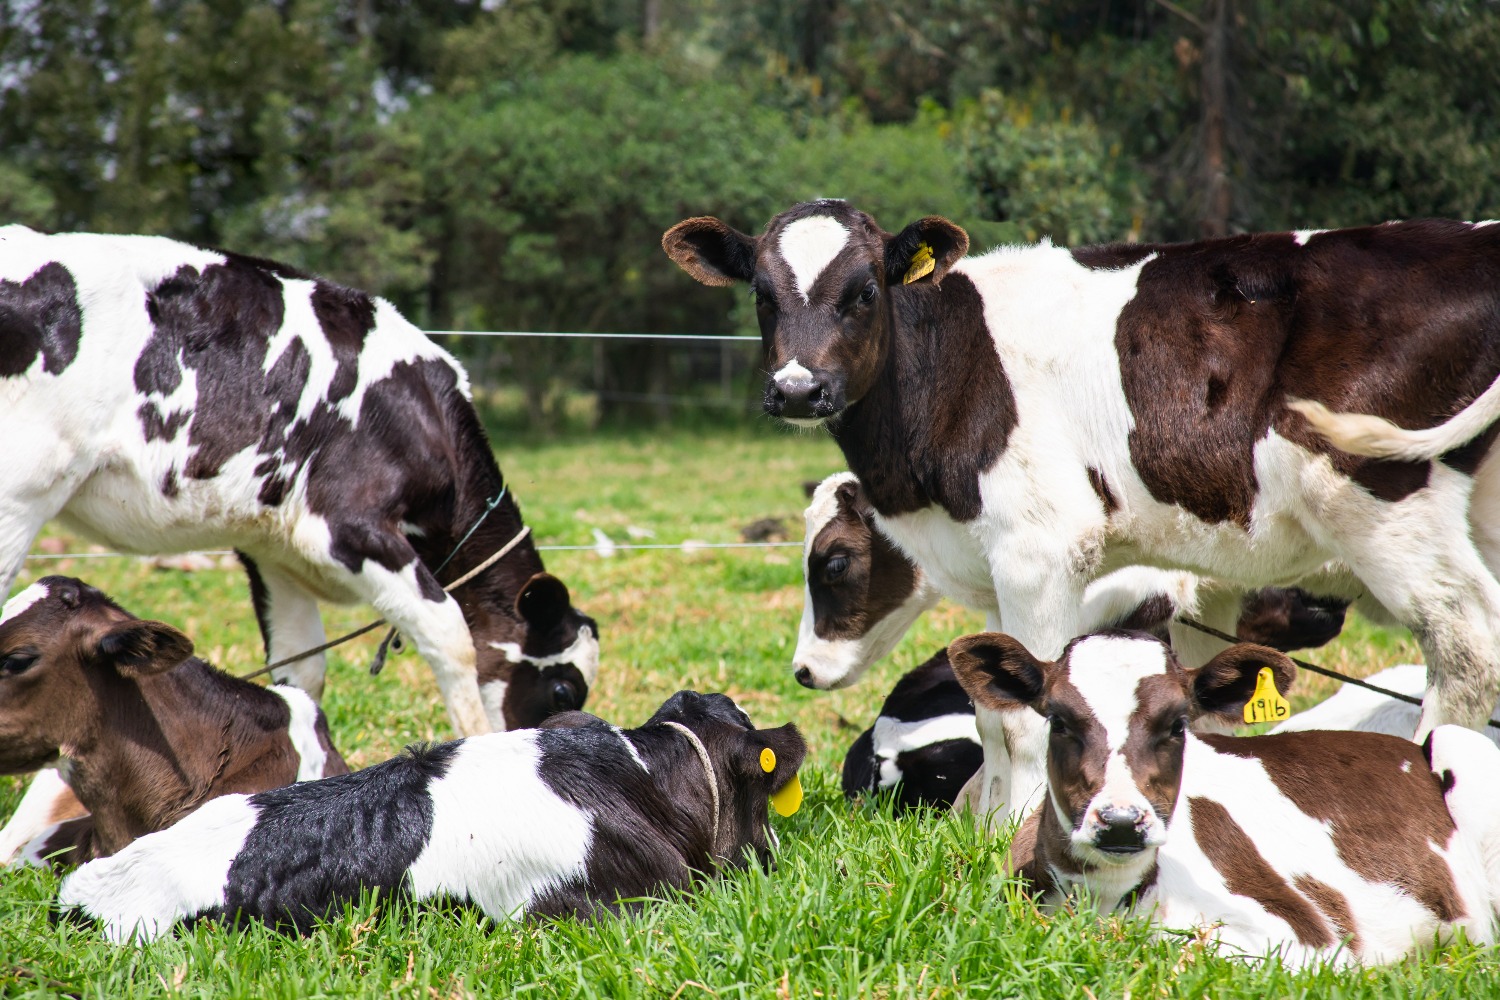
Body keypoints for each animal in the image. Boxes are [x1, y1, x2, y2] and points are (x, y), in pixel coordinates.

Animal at [0, 226, 597, 743]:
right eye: (563, 690)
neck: (420, 415)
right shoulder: (345, 526)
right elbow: (451, 634)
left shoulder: (274, 548)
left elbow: (301, 668)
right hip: (19, 498)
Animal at [669, 197, 1500, 827]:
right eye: (762, 295)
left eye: (865, 291)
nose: (797, 389)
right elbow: (1007, 707)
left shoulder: (1040, 552)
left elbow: (1025, 713)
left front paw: (1021, 825)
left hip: (1379, 494)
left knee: (1465, 645)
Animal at [948, 632, 1500, 971]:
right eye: (1059, 720)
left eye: (1177, 724)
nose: (1122, 821)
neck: (1107, 902)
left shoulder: (1308, 940)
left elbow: (1190, 953)